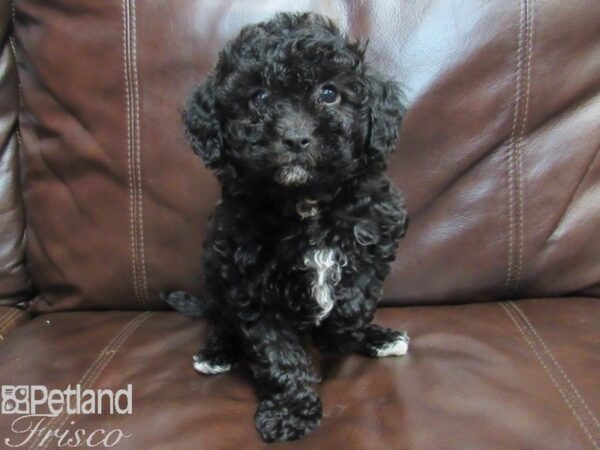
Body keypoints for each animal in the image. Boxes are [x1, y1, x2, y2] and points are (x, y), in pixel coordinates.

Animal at [169, 11, 410, 442]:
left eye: (329, 93)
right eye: (259, 98)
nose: (296, 138)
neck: (305, 201)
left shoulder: (378, 230)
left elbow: (356, 298)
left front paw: (336, 334)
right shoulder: (249, 280)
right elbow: (276, 350)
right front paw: (291, 411)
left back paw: (379, 337)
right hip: (214, 270)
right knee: (221, 317)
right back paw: (218, 351)